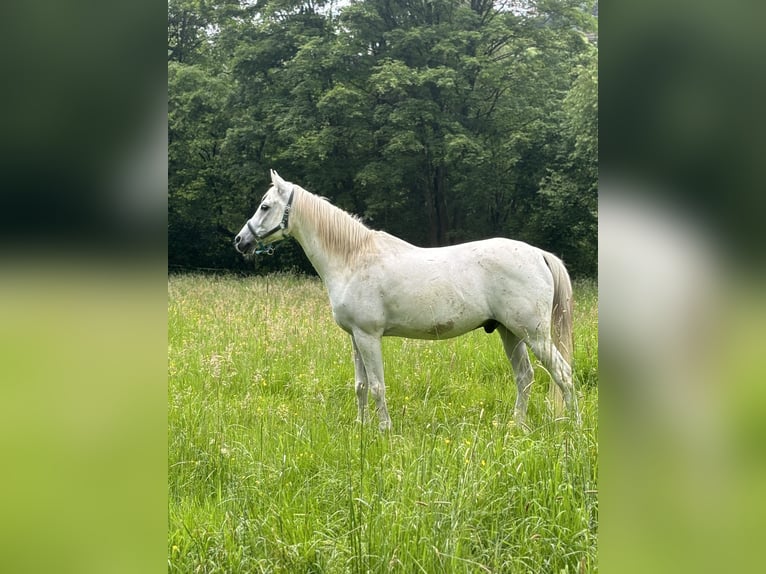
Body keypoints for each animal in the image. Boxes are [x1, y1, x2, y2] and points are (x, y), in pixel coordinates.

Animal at [237, 171, 580, 432]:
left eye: (265, 206)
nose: (241, 241)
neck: (352, 258)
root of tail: (538, 254)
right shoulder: (355, 338)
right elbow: (361, 386)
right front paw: (361, 428)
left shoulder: (368, 336)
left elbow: (377, 386)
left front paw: (383, 429)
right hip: (510, 333)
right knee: (525, 377)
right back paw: (516, 426)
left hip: (534, 335)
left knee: (563, 374)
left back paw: (573, 428)